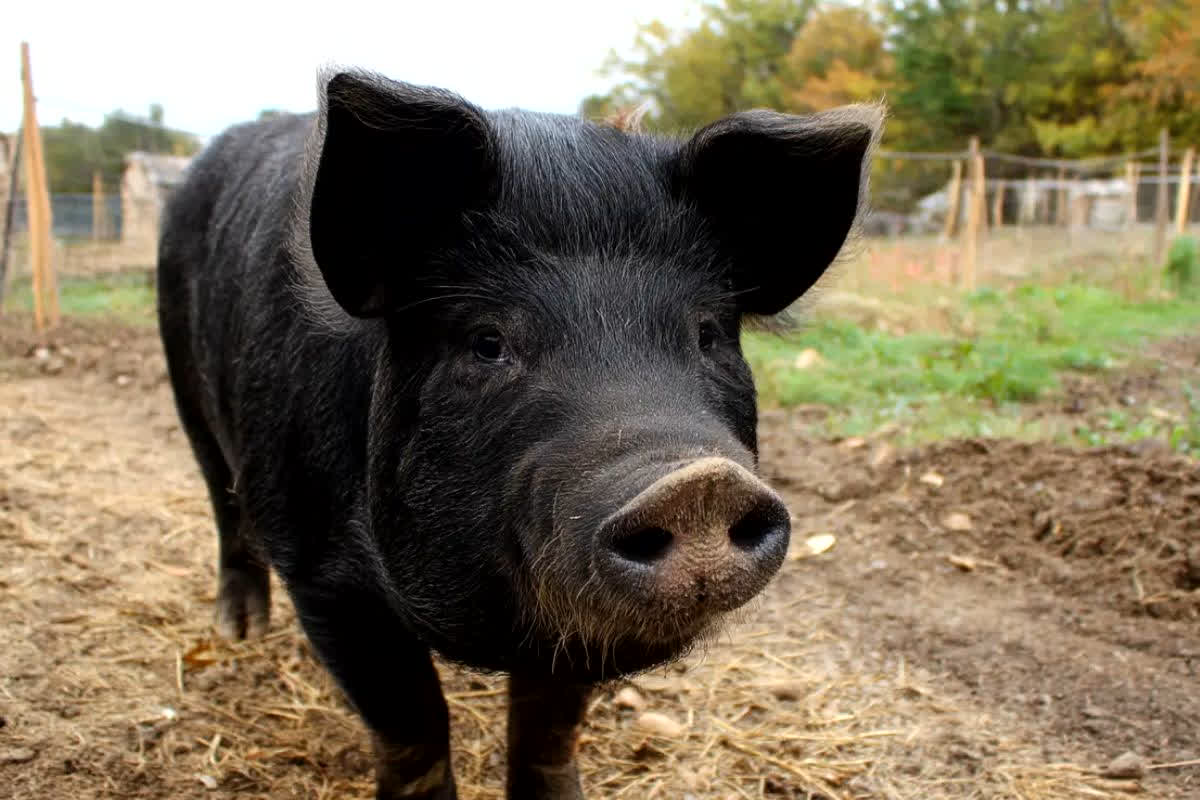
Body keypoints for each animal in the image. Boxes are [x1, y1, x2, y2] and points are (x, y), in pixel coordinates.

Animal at [156, 68, 881, 799]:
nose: (698, 484)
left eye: (706, 335)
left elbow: (549, 724)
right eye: (487, 342)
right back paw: (238, 633)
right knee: (224, 503)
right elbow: (412, 724)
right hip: (184, 377)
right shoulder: (324, 575)